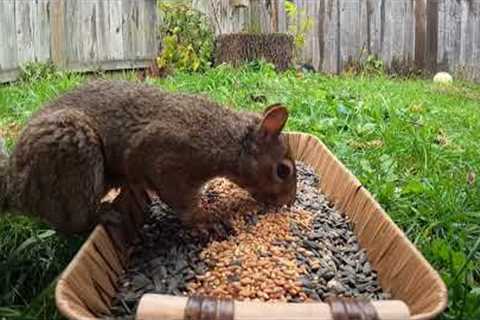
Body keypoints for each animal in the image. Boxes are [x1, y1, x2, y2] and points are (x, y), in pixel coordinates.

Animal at [0, 80, 296, 238]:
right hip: (74, 157)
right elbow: (181, 201)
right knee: (73, 222)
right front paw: (204, 219)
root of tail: (16, 185)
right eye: (282, 170)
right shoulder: (167, 161)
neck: (227, 140)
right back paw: (106, 214)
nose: (289, 202)